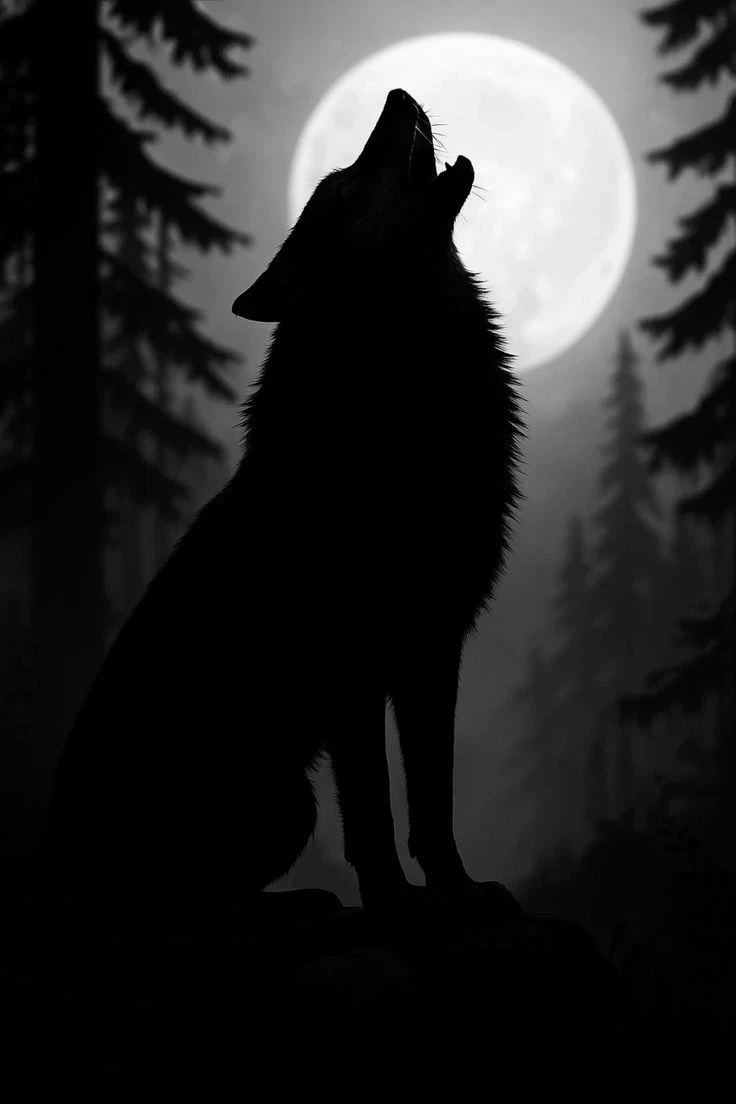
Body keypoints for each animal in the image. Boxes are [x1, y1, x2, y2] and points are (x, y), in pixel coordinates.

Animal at [40, 89, 524, 924]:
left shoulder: (433, 645)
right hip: (280, 799)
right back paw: (302, 904)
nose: (396, 94)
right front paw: (394, 902)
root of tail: (50, 869)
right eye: (343, 185)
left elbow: (433, 799)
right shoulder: (352, 662)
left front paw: (459, 892)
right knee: (183, 899)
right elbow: (374, 807)